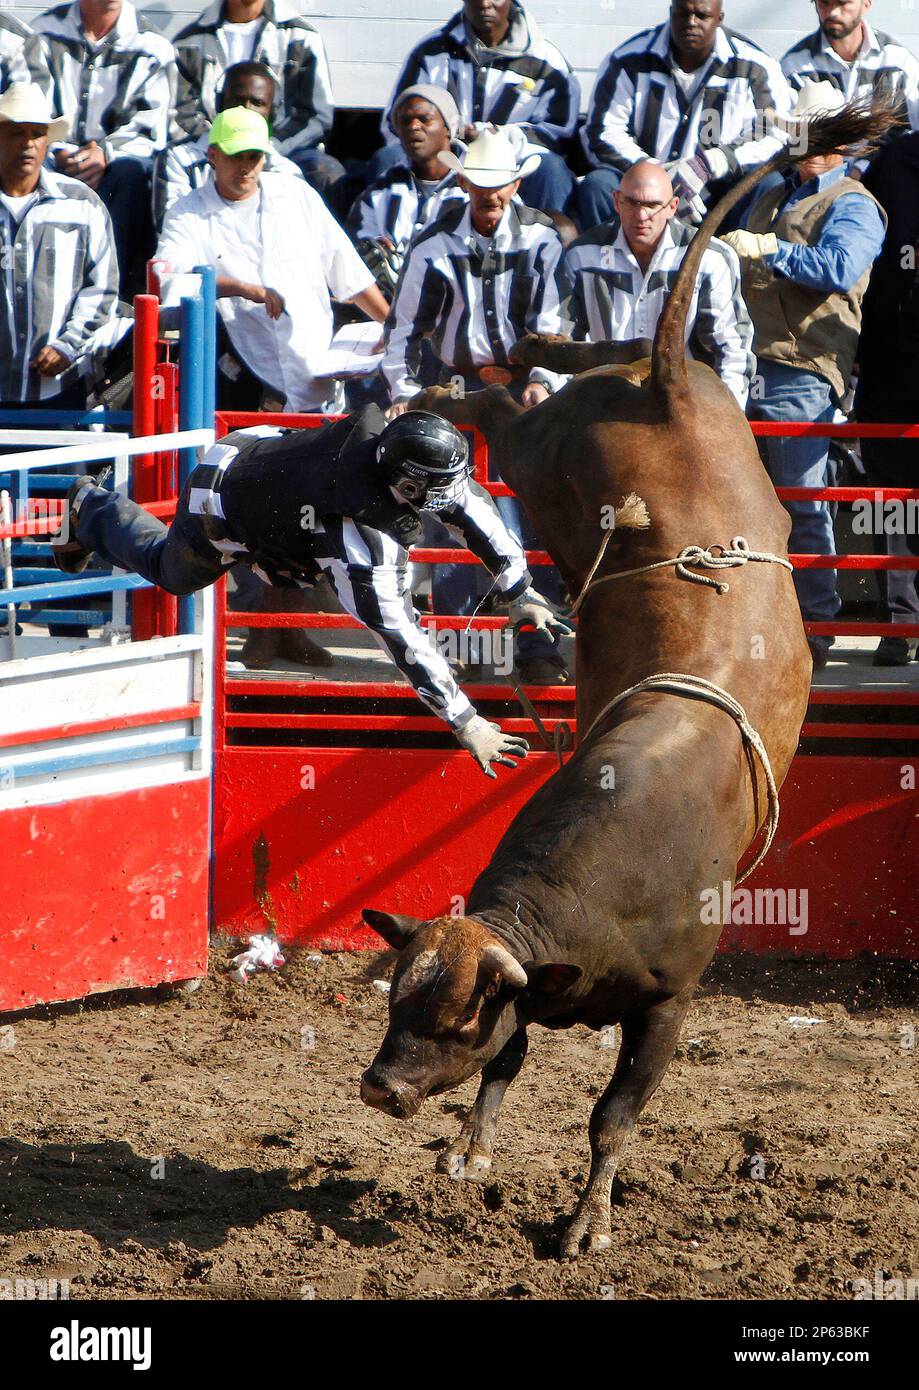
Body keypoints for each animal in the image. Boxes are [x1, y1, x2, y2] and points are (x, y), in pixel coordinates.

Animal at [359, 101, 896, 1259]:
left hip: (549, 441)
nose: (380, 1088)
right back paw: (512, 352)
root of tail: (669, 394)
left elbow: (611, 1110)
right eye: (391, 1001)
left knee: (511, 399)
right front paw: (470, 1153)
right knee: (568, 365)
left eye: (447, 1017)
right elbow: (515, 1062)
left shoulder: (666, 1004)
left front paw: (587, 1221)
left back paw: (466, 373)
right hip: (596, 420)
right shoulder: (529, 987)